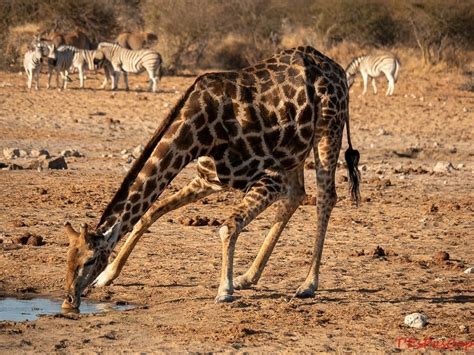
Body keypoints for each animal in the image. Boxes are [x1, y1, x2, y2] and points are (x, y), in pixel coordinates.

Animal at [62, 46, 360, 310]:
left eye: (89, 260)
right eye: (68, 257)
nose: (69, 300)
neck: (197, 133)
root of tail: (338, 70)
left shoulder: (271, 177)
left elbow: (227, 226)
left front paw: (223, 290)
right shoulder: (209, 179)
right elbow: (150, 213)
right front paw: (108, 276)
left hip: (328, 129)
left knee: (325, 196)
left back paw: (308, 284)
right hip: (294, 149)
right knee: (298, 194)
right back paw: (247, 277)